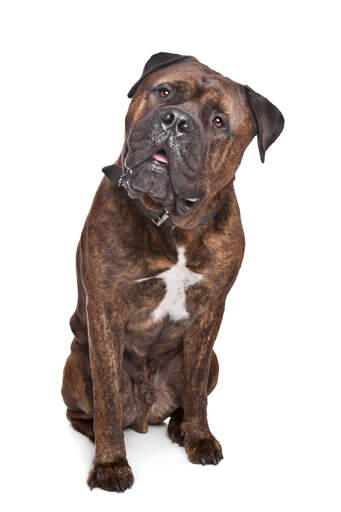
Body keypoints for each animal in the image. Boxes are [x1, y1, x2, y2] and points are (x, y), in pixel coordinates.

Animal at [61, 52, 284, 492]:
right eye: (164, 92)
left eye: (218, 121)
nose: (176, 121)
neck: (172, 224)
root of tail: (147, 414)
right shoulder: (104, 311)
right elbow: (108, 396)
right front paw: (111, 464)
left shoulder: (210, 313)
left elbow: (196, 391)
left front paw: (199, 438)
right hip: (76, 362)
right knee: (85, 412)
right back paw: (97, 433)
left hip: (215, 360)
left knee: (192, 394)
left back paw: (180, 426)